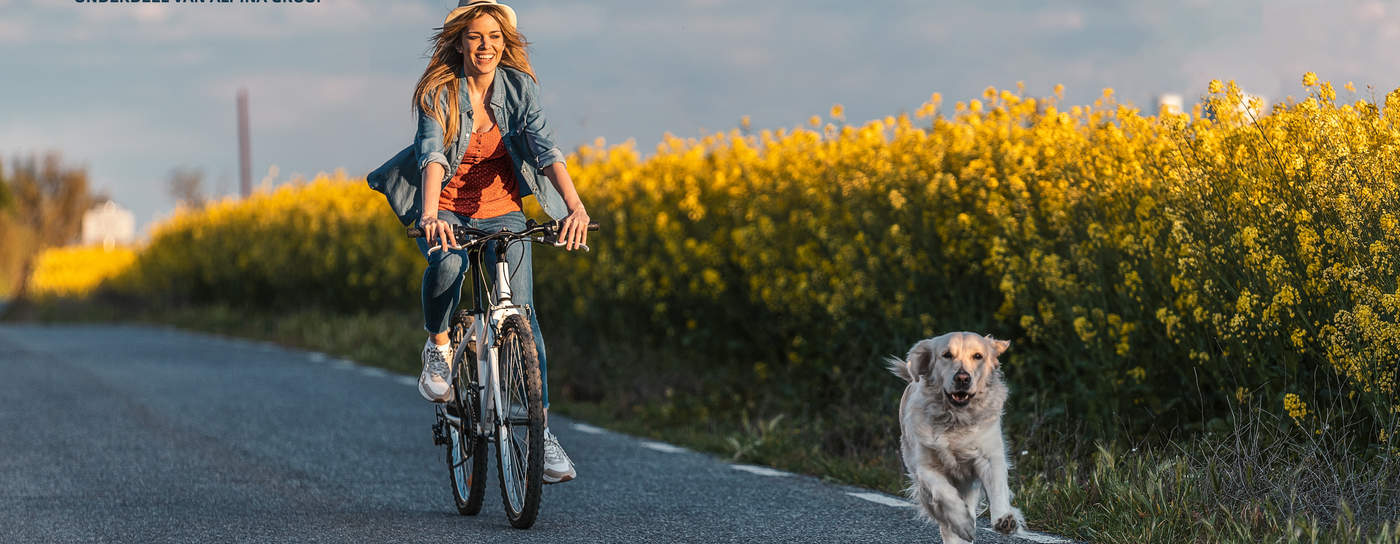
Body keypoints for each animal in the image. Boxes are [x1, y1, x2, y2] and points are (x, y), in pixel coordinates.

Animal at [890, 332, 1024, 539]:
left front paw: (1005, 519)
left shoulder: (989, 456)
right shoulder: (924, 466)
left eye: (978, 356)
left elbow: (998, 487)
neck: (956, 419)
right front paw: (962, 523)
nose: (962, 378)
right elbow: (944, 492)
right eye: (947, 355)